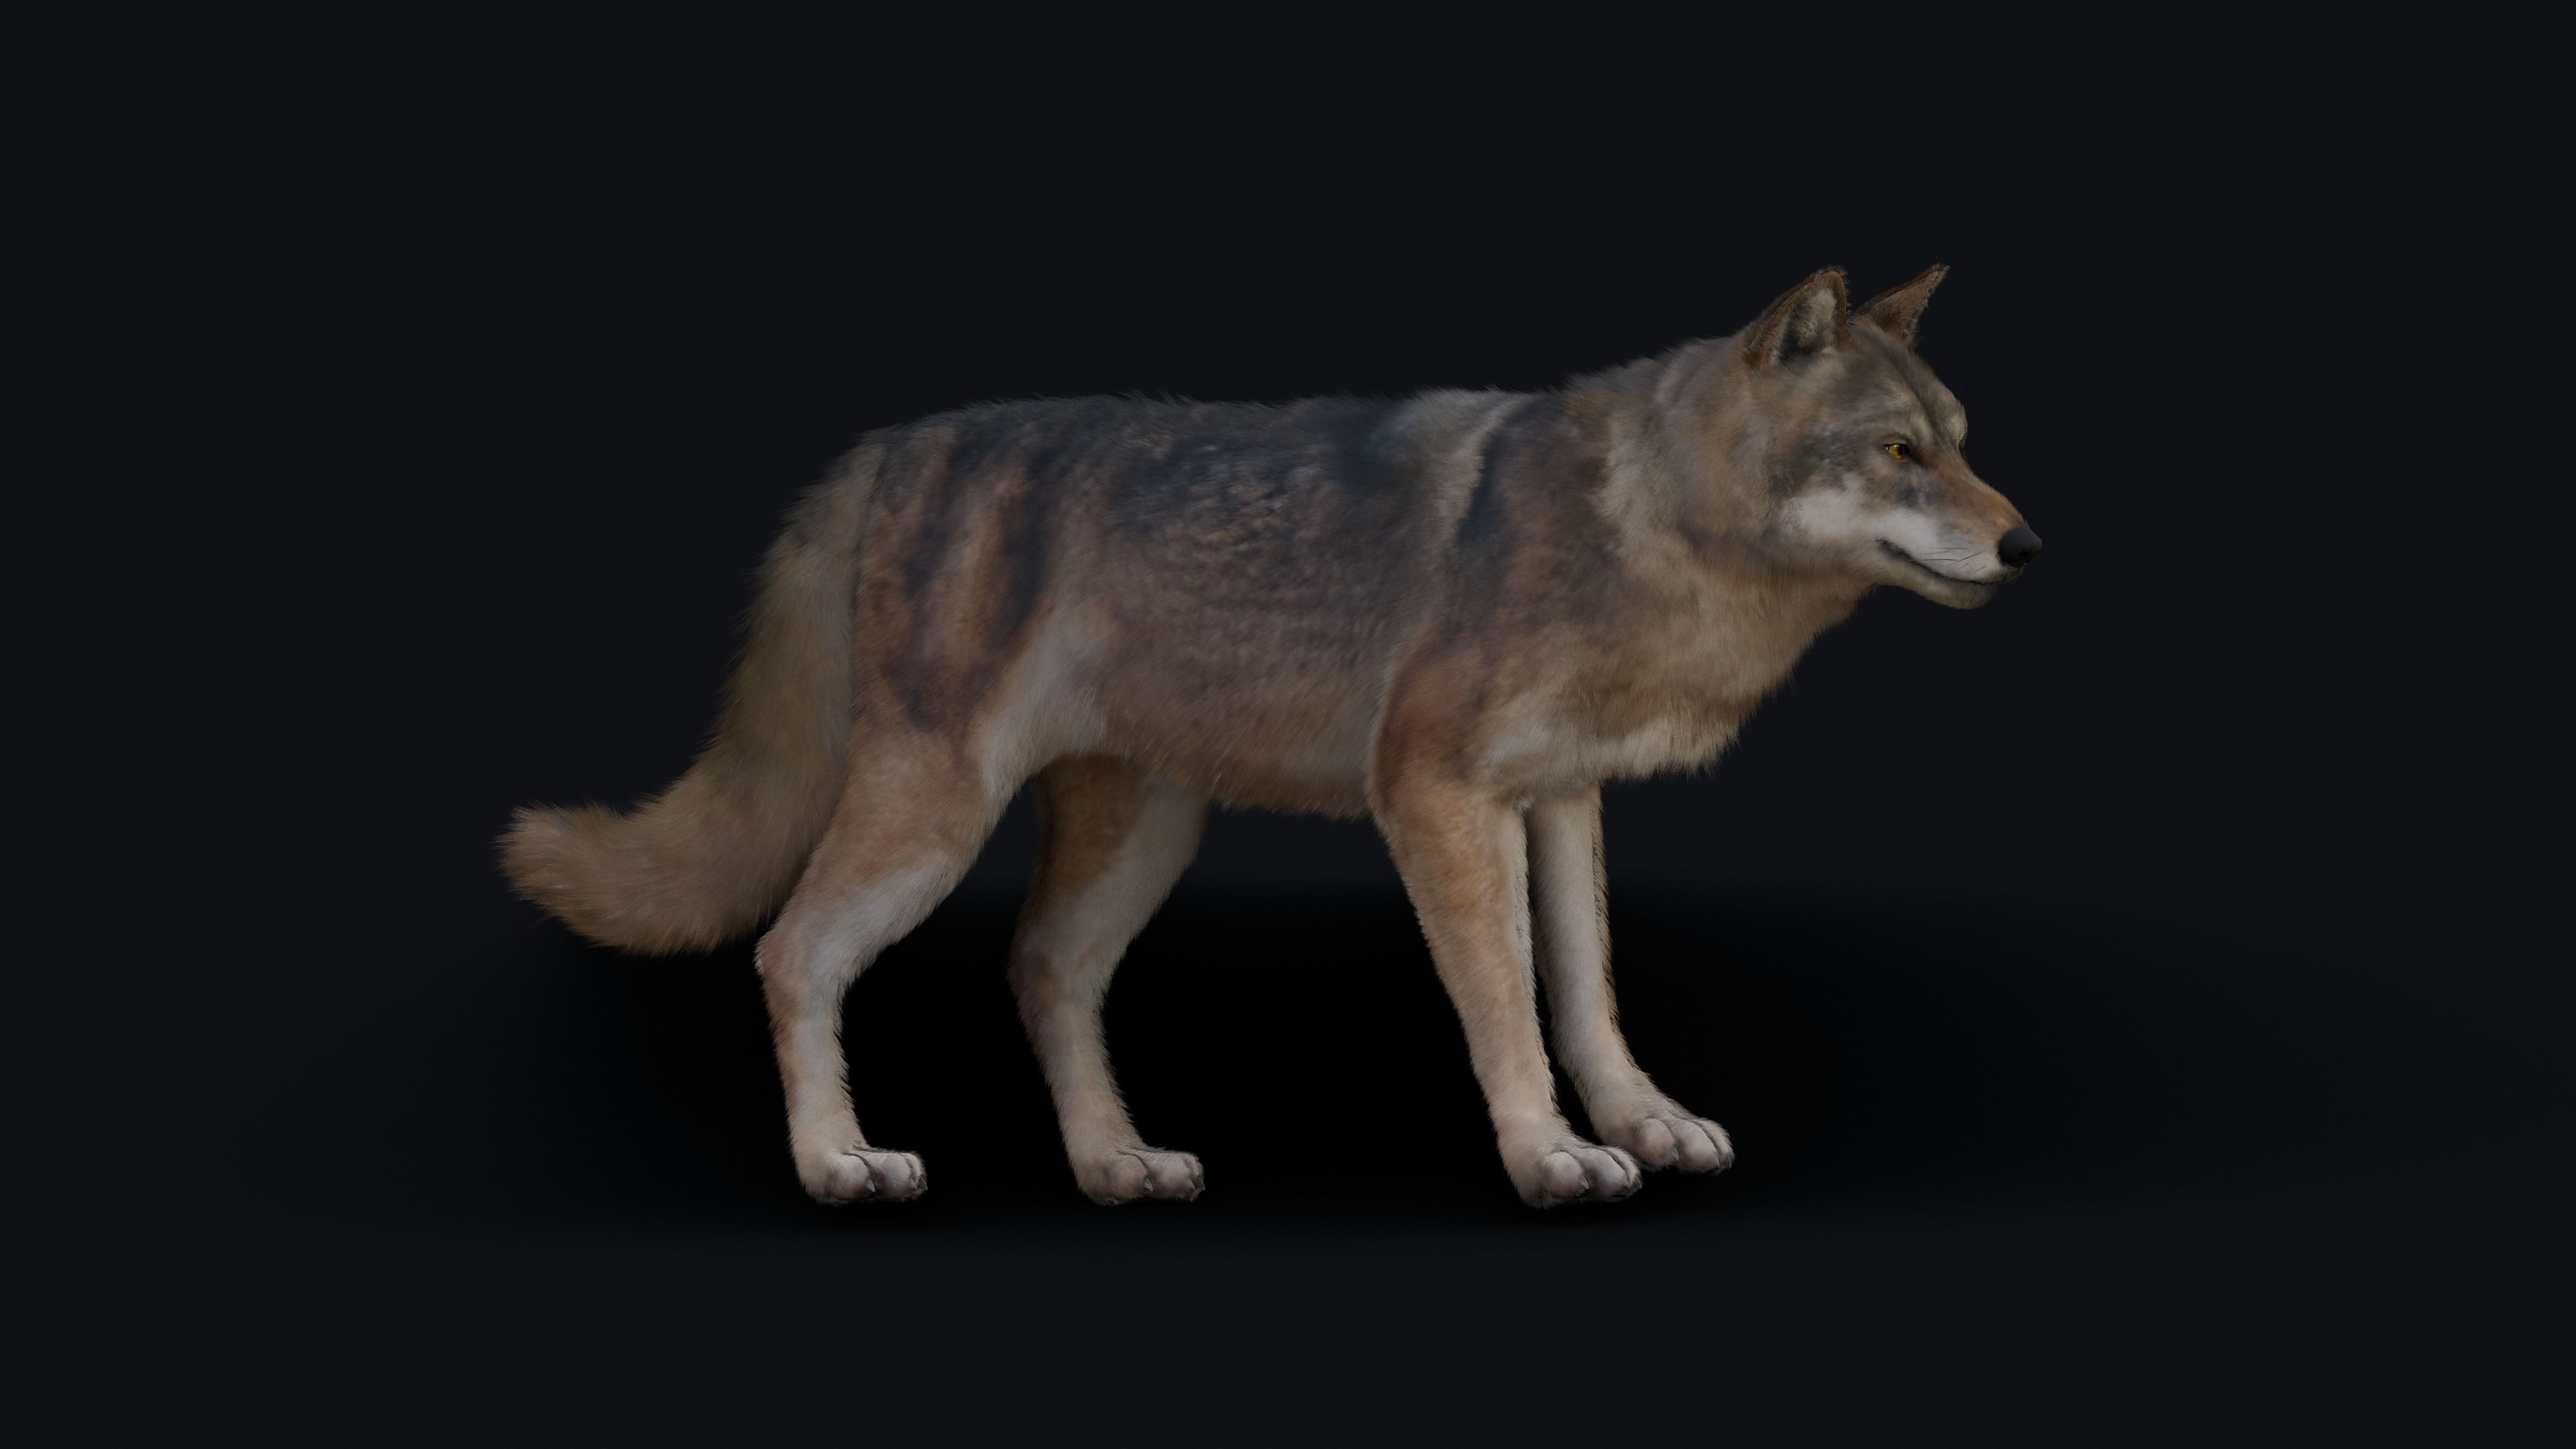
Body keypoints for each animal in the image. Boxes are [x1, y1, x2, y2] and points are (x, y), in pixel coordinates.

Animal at [501, 266, 2041, 1208]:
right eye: (1899, 453)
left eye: (1961, 441)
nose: (2030, 546)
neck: (1642, 524)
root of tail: (891, 445)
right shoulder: (1436, 801)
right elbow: (1506, 1007)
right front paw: (1549, 1156)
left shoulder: (1560, 803)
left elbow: (1589, 997)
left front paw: (1642, 1123)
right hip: (933, 816)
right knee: (790, 951)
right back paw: (840, 1162)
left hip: (1142, 836)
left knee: (1039, 967)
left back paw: (1116, 1163)